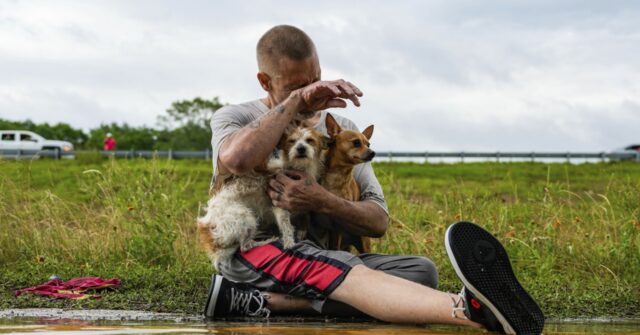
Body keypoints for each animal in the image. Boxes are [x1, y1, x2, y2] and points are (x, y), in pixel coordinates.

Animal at [198, 127, 324, 270]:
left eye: (310, 140)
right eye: (292, 141)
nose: (301, 148)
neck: (296, 167)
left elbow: (303, 217)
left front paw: (301, 232)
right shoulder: (279, 203)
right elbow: (286, 226)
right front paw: (289, 242)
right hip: (246, 217)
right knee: (245, 247)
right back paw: (268, 241)